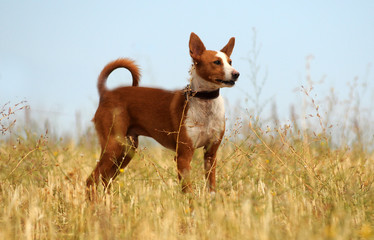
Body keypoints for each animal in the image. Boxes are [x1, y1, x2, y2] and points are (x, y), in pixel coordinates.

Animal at [86, 31, 240, 197]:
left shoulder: (211, 154)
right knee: (91, 180)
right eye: (217, 62)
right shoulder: (183, 156)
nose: (236, 74)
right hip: (113, 146)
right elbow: (188, 191)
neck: (205, 102)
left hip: (126, 151)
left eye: (230, 62)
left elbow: (211, 188)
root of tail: (106, 93)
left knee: (105, 180)